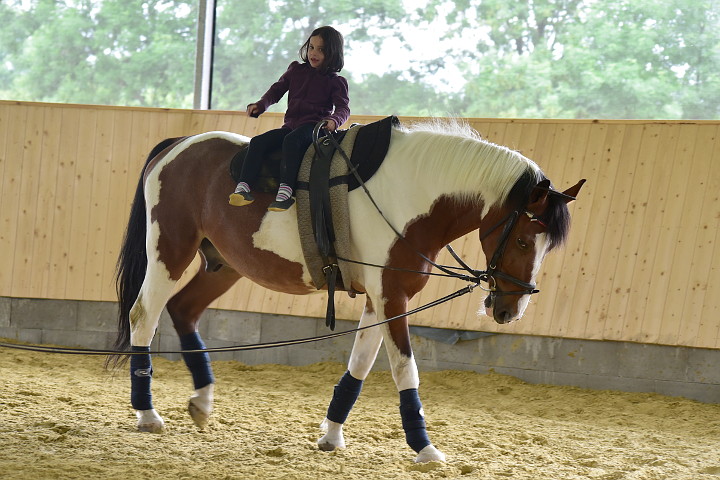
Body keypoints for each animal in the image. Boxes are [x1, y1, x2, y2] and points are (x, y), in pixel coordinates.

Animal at [114, 119, 584, 462]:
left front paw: (332, 437)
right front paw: (424, 447)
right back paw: (147, 412)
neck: (410, 196)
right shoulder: (391, 297)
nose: (511, 310)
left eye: (546, 246)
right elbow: (405, 370)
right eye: (522, 241)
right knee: (144, 316)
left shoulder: (382, 298)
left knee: (183, 310)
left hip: (224, 264)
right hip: (170, 251)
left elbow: (359, 366)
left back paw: (202, 401)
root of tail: (178, 144)